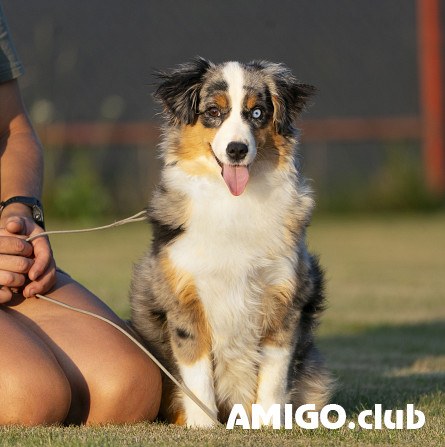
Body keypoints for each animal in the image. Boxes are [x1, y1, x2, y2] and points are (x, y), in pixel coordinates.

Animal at [128, 57, 330, 428]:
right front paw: (202, 426)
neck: (234, 201)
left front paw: (270, 425)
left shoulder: (284, 298)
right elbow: (196, 373)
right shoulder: (185, 298)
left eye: (257, 113)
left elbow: (275, 373)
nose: (237, 150)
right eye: (213, 112)